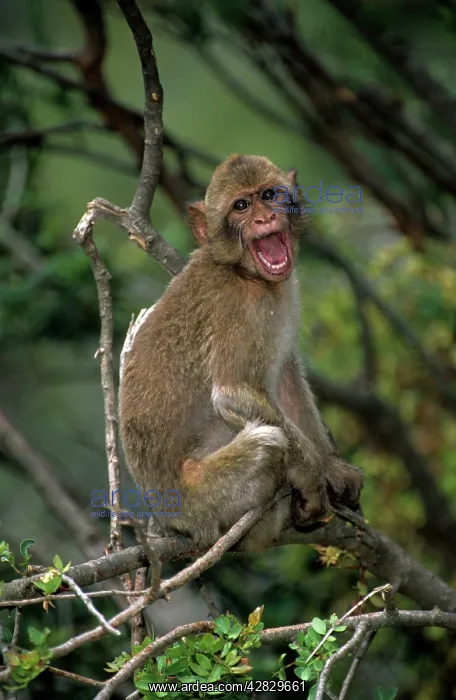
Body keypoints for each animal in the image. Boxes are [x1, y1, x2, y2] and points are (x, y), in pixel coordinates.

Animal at [119, 154, 363, 552]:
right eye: (241, 206)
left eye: (269, 195)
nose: (264, 219)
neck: (246, 274)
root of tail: (167, 518)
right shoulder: (238, 309)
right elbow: (233, 393)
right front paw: (315, 479)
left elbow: (286, 379)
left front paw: (332, 467)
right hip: (203, 501)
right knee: (267, 443)